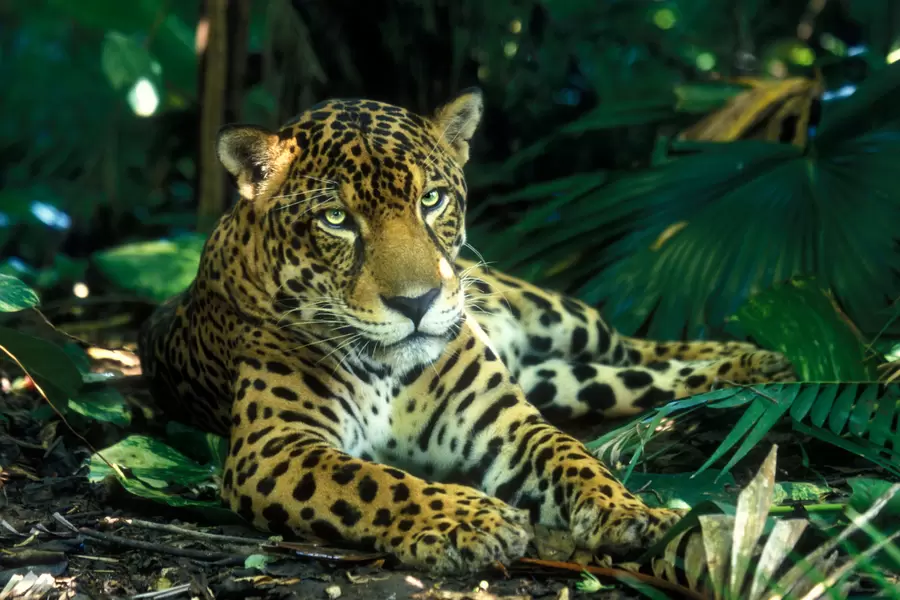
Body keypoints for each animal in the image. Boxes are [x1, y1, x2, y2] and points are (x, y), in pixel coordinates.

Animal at [138, 88, 794, 574]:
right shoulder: (274, 447)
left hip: (565, 320)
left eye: (431, 200)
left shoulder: (507, 423)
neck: (390, 368)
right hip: (569, 380)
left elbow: (571, 453)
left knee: (637, 346)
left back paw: (759, 363)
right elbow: (373, 480)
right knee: (636, 374)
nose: (418, 302)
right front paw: (471, 521)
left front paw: (626, 509)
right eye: (336, 219)